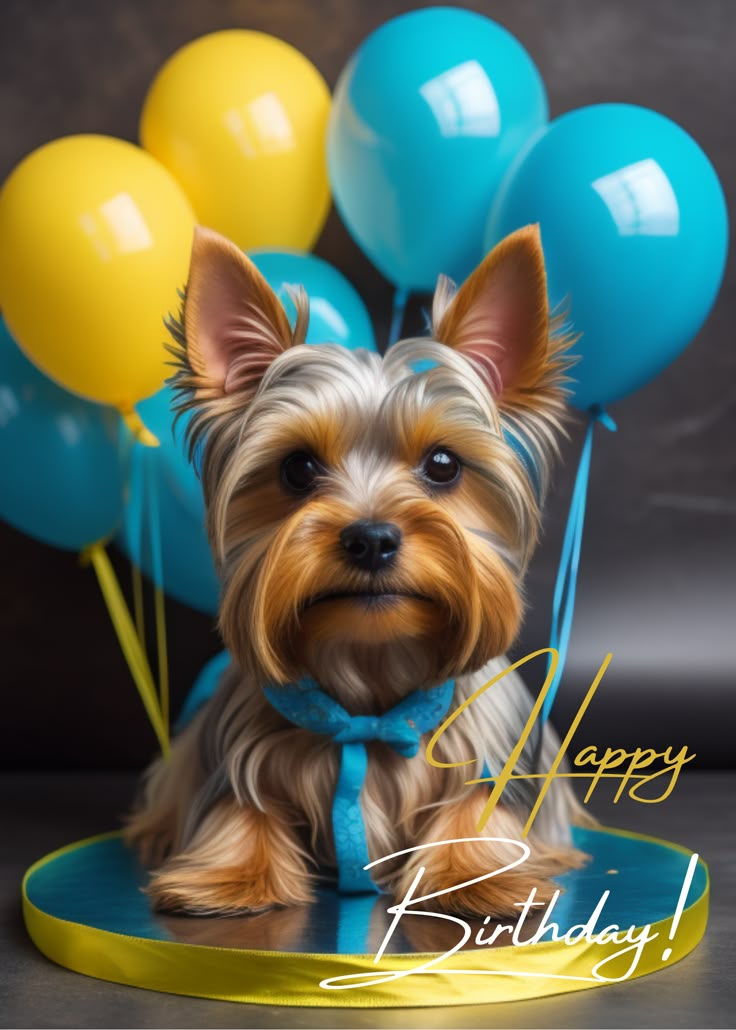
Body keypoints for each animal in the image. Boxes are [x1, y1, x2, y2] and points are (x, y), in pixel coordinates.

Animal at [125, 225, 588, 918]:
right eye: (297, 468)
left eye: (443, 464)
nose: (371, 539)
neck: (372, 683)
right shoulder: (234, 752)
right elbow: (240, 809)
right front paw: (230, 876)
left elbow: (475, 811)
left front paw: (477, 871)